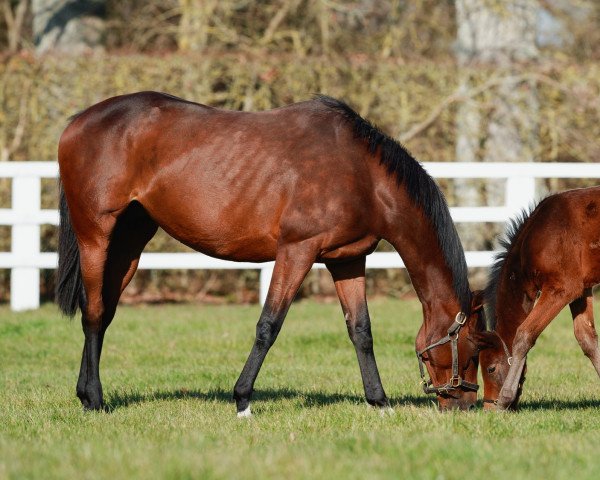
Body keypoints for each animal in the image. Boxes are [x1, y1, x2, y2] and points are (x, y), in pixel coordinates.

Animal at [56, 92, 480, 414]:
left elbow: (361, 330)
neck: (361, 174)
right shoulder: (297, 251)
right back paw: (94, 400)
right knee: (94, 312)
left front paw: (379, 402)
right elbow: (269, 325)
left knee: (105, 311)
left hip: (129, 242)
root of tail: (78, 121)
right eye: (474, 350)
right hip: (96, 235)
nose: (463, 406)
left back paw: (85, 394)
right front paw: (242, 400)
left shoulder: (346, 259)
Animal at [474, 187, 600, 408]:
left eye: (491, 368)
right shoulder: (581, 290)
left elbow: (524, 335)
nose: (489, 408)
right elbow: (587, 339)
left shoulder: (561, 290)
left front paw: (505, 398)